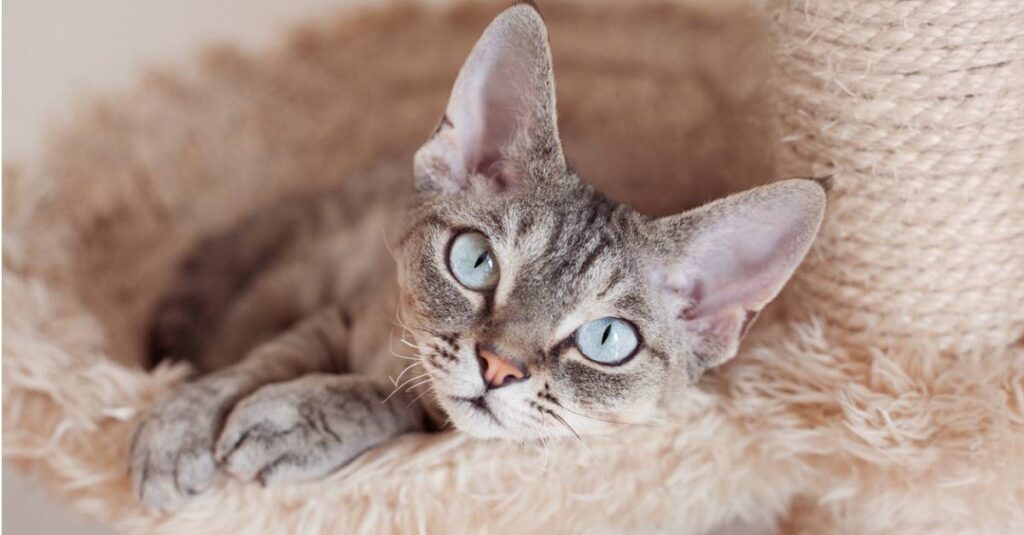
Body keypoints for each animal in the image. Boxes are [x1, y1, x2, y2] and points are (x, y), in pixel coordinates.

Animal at [130, 4, 831, 512]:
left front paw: (297, 420)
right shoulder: (344, 310)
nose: (498, 367)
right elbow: (262, 360)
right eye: (474, 261)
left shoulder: (431, 420)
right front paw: (183, 422)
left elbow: (398, 401)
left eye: (607, 339)